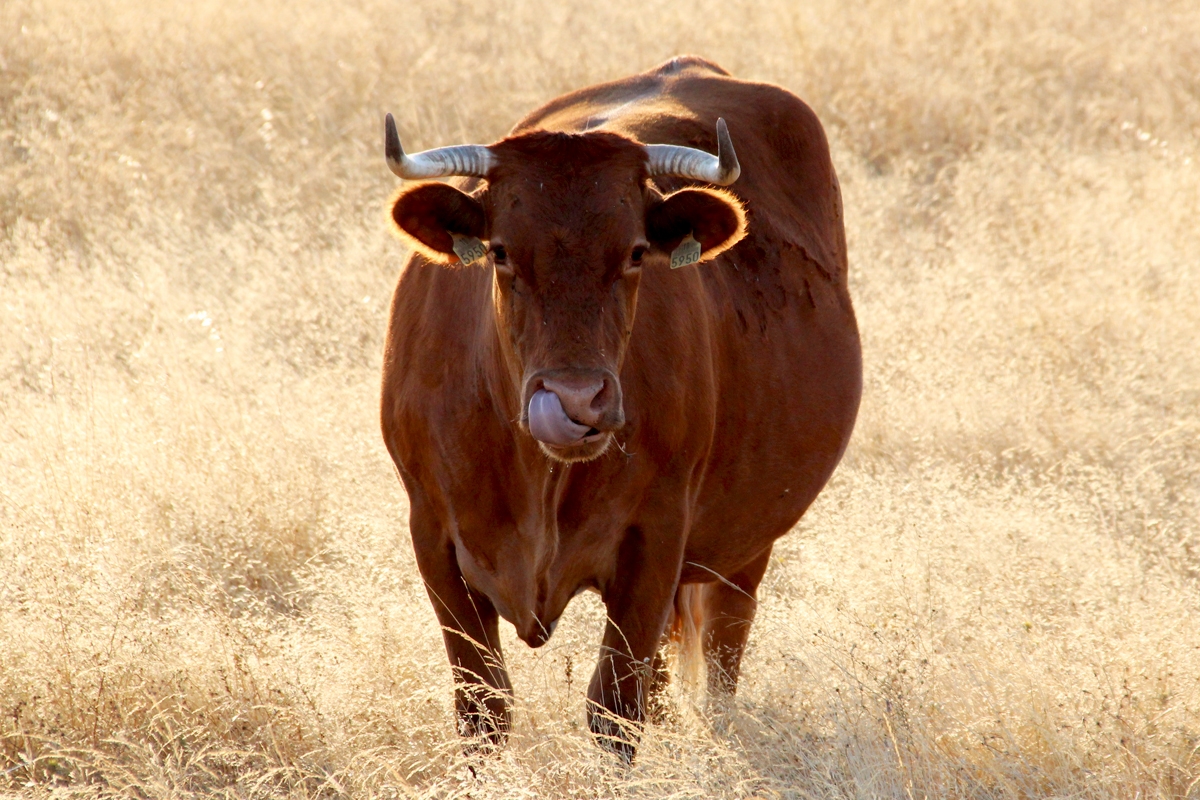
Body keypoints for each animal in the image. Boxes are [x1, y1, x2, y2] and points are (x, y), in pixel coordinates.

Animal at [379, 54, 859, 758]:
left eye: (635, 253)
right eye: (500, 251)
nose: (575, 400)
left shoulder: (654, 540)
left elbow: (614, 710)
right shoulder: (434, 534)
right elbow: (483, 708)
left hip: (747, 542)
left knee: (719, 661)